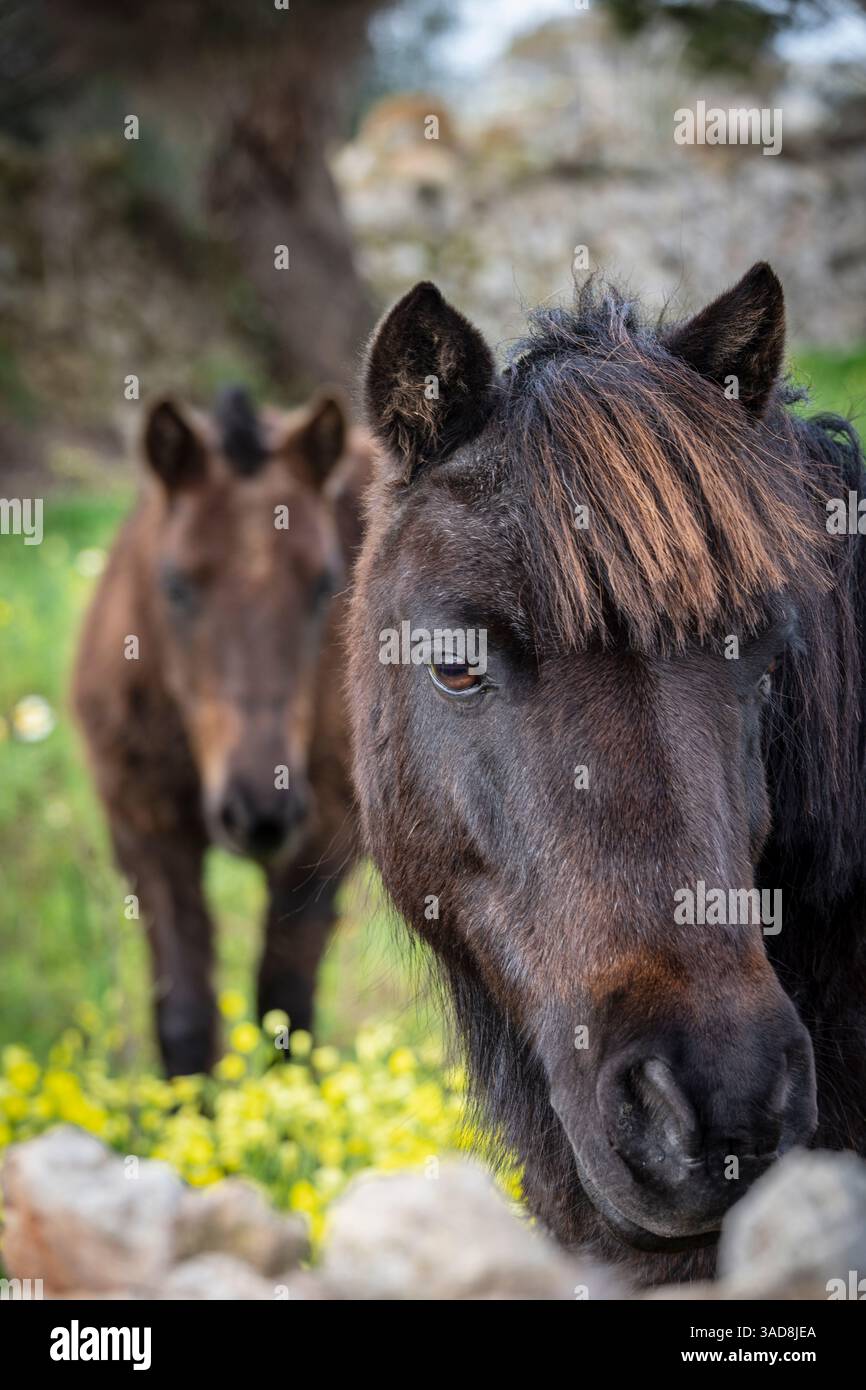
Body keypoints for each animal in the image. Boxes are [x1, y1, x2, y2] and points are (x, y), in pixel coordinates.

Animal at [74, 386, 372, 1076]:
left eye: (325, 582)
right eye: (176, 584)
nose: (259, 809)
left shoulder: (324, 839)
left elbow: (285, 1009)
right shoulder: (148, 834)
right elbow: (183, 1016)